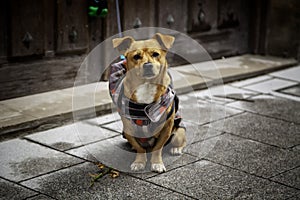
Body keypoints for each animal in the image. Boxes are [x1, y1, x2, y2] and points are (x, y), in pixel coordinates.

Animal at [110, 33, 185, 173]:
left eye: (156, 54)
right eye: (136, 56)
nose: (148, 65)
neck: (146, 86)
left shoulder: (166, 127)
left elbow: (158, 148)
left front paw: (157, 163)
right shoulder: (129, 129)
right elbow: (139, 148)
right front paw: (139, 162)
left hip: (179, 133)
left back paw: (176, 148)